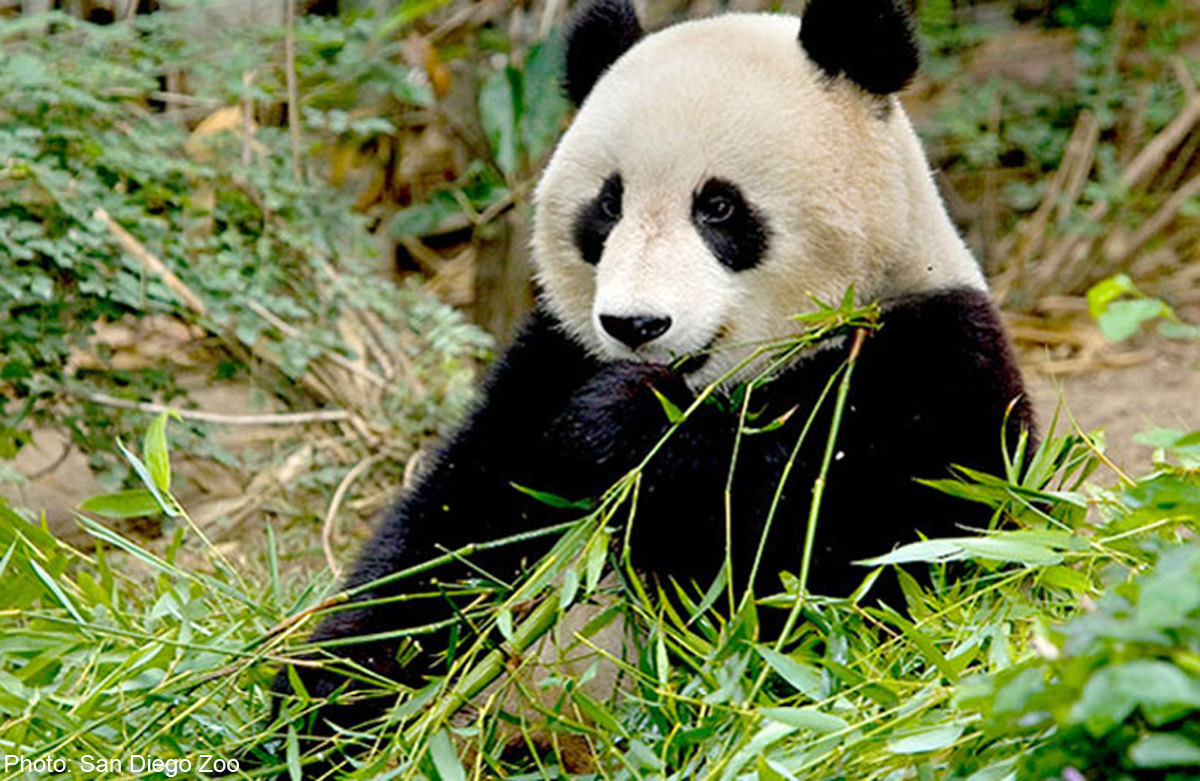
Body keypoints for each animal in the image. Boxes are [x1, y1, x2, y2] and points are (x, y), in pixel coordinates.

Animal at [270, 0, 1032, 763]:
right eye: (608, 205)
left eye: (719, 207)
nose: (636, 324)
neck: (727, 382)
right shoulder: (550, 362)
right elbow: (444, 543)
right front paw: (314, 704)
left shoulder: (933, 364)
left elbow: (852, 557)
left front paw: (626, 424)